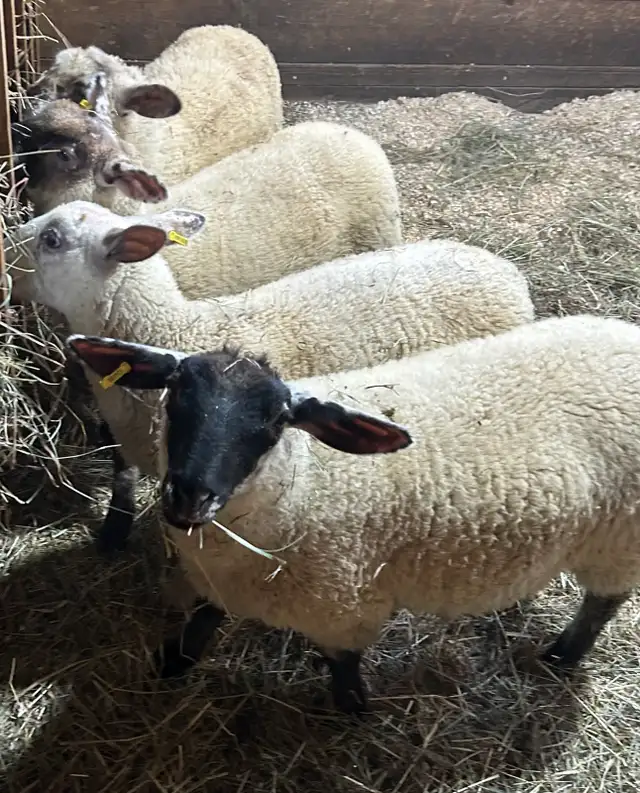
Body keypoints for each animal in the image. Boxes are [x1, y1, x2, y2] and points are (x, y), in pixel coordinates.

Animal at [66, 313, 640, 715]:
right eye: (174, 399)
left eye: (275, 422)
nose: (188, 497)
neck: (300, 481)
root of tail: (624, 336)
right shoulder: (218, 581)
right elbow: (200, 624)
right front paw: (172, 664)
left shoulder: (342, 609)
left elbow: (342, 667)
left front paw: (352, 711)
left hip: (618, 541)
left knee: (603, 602)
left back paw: (563, 656)